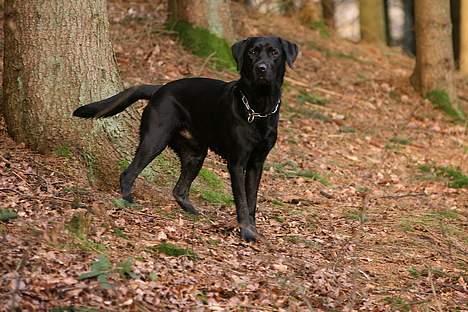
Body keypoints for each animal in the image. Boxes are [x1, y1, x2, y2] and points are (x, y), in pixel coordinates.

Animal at [73, 36, 300, 241]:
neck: (259, 106)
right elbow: (242, 201)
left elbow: (252, 200)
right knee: (128, 174)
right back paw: (129, 200)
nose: (261, 68)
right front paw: (246, 233)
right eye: (252, 52)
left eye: (274, 53)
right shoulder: (237, 163)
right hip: (154, 141)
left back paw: (196, 214)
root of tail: (159, 88)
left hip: (195, 154)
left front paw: (254, 230)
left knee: (179, 190)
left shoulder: (256, 163)